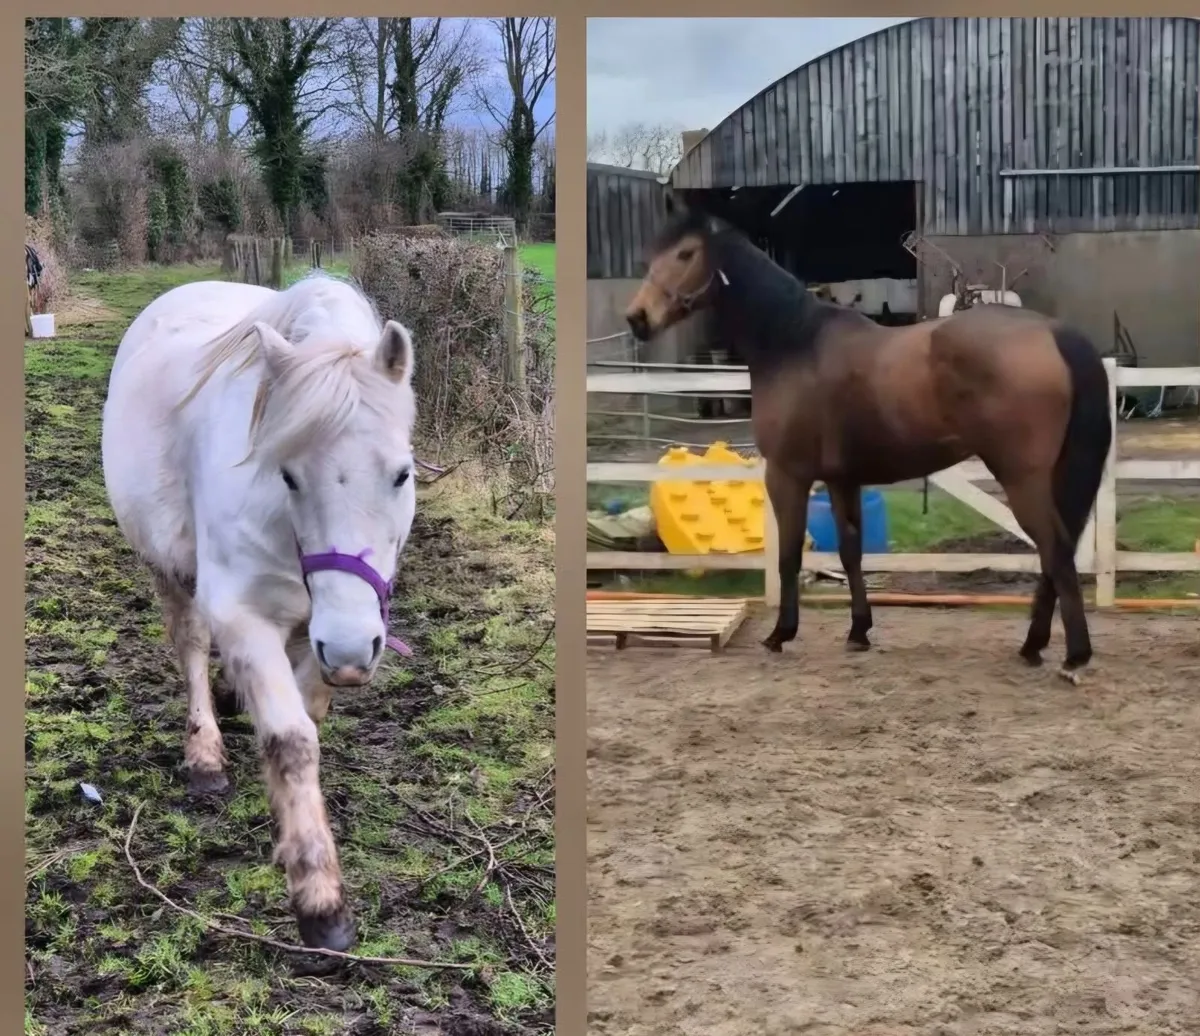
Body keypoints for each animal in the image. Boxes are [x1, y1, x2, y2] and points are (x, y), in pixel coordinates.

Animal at [101, 272, 418, 951]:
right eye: (288, 475)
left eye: (402, 474)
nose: (350, 649)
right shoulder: (244, 614)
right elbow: (292, 738)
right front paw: (321, 903)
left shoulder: (319, 635)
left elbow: (308, 707)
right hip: (168, 567)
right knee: (191, 646)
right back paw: (204, 754)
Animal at [624, 196, 1113, 683]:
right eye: (652, 256)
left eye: (685, 254)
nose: (637, 318)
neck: (793, 342)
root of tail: (1053, 332)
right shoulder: (842, 480)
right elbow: (850, 551)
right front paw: (859, 631)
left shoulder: (788, 475)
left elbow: (788, 555)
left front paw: (781, 633)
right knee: (1057, 551)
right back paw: (1034, 645)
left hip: (1021, 477)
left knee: (1056, 551)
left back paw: (1073, 656)